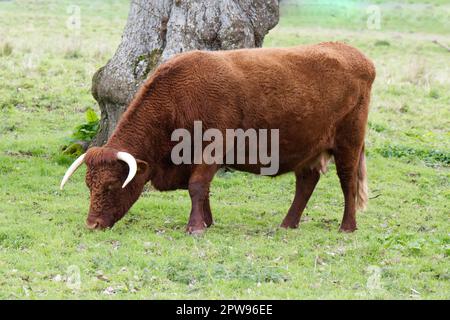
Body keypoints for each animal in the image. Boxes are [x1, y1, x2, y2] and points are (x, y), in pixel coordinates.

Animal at [60, 41, 376, 234]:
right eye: (89, 185)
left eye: (111, 185)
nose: (92, 224)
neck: (177, 100)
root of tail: (356, 56)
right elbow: (203, 188)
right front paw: (207, 221)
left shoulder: (213, 148)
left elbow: (197, 185)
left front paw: (196, 227)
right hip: (308, 146)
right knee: (306, 182)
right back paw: (288, 223)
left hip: (349, 141)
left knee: (347, 181)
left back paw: (347, 226)